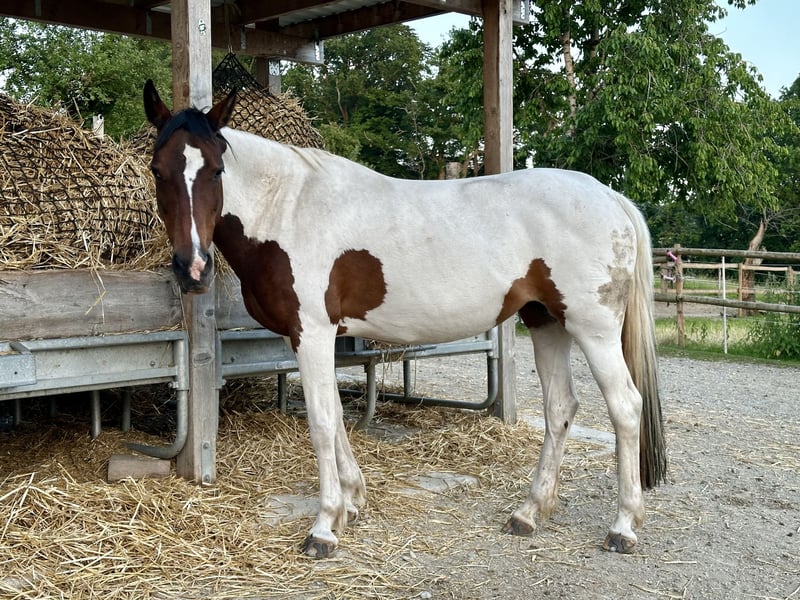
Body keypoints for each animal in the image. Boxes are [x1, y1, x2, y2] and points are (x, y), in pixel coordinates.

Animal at [143, 80, 667, 559]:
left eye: (215, 170)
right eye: (157, 170)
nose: (193, 269)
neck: (288, 209)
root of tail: (610, 197)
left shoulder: (312, 333)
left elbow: (321, 421)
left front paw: (324, 526)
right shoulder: (314, 337)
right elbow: (337, 415)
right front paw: (352, 502)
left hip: (593, 330)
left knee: (625, 407)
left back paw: (623, 526)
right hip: (546, 322)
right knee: (560, 408)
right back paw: (529, 513)